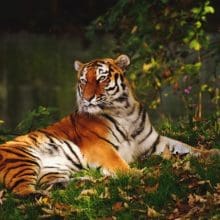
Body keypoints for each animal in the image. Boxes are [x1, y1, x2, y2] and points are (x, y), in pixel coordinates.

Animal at [0, 54, 217, 196]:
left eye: (101, 78)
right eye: (83, 81)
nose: (87, 99)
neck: (125, 111)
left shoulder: (154, 142)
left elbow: (186, 147)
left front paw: (212, 152)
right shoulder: (100, 146)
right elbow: (118, 163)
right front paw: (137, 173)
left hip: (53, 169)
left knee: (50, 184)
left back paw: (85, 181)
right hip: (22, 159)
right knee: (21, 190)